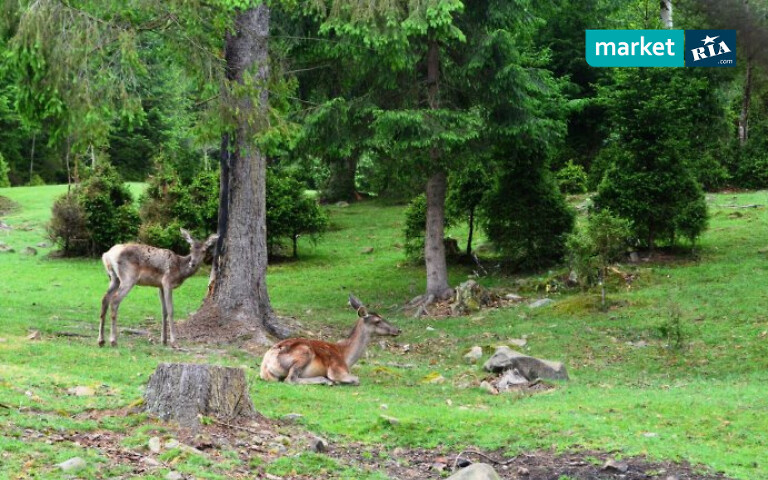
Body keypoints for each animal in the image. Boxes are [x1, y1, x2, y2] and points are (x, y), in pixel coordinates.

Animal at [260, 292, 402, 386]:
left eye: (382, 316)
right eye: (377, 321)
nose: (398, 330)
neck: (346, 357)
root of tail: (266, 365)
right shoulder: (336, 369)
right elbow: (356, 379)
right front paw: (335, 381)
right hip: (304, 352)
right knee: (290, 379)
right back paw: (325, 381)